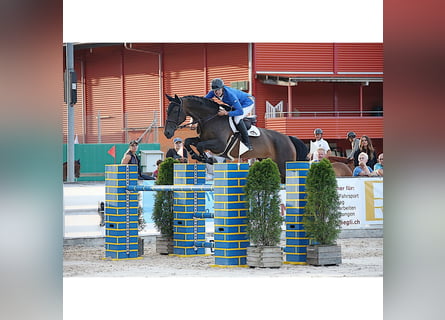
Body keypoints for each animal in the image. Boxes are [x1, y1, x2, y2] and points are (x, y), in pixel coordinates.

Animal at [162, 94, 306, 181]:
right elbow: (189, 141)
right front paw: (196, 156)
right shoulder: (204, 139)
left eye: (176, 111)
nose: (167, 133)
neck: (210, 119)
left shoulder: (219, 145)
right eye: (167, 110)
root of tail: (288, 138)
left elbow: (200, 146)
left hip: (284, 165)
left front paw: (207, 159)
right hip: (269, 161)